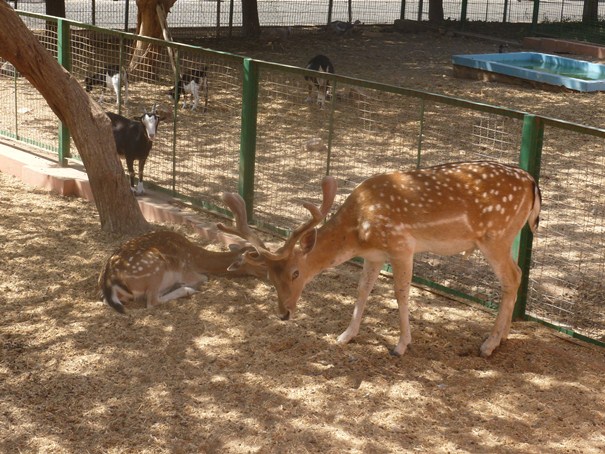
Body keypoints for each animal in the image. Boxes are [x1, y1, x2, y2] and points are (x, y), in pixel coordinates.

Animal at [99, 227, 266, 312]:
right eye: (262, 263)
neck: (197, 258)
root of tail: (109, 280)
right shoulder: (187, 271)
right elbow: (205, 278)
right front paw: (187, 286)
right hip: (155, 267)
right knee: (152, 301)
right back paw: (186, 290)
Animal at [219, 162, 540, 358]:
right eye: (269, 277)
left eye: (295, 273)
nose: (284, 313)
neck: (358, 232)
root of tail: (532, 182)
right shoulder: (374, 256)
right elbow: (363, 290)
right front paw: (345, 335)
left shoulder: (401, 246)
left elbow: (401, 293)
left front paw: (400, 345)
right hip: (507, 237)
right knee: (518, 275)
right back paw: (503, 336)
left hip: (495, 237)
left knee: (511, 277)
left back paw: (488, 344)